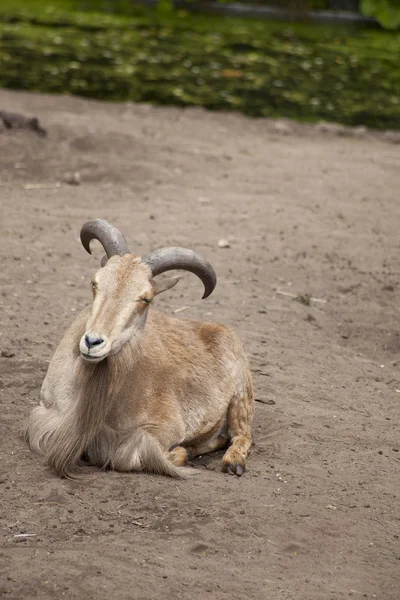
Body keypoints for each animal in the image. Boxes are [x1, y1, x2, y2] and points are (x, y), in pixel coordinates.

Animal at [25, 220, 253, 478]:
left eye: (145, 298)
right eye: (95, 282)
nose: (93, 342)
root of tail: (221, 329)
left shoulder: (163, 428)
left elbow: (128, 456)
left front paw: (180, 453)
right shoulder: (46, 414)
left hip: (240, 396)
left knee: (242, 435)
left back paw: (233, 462)